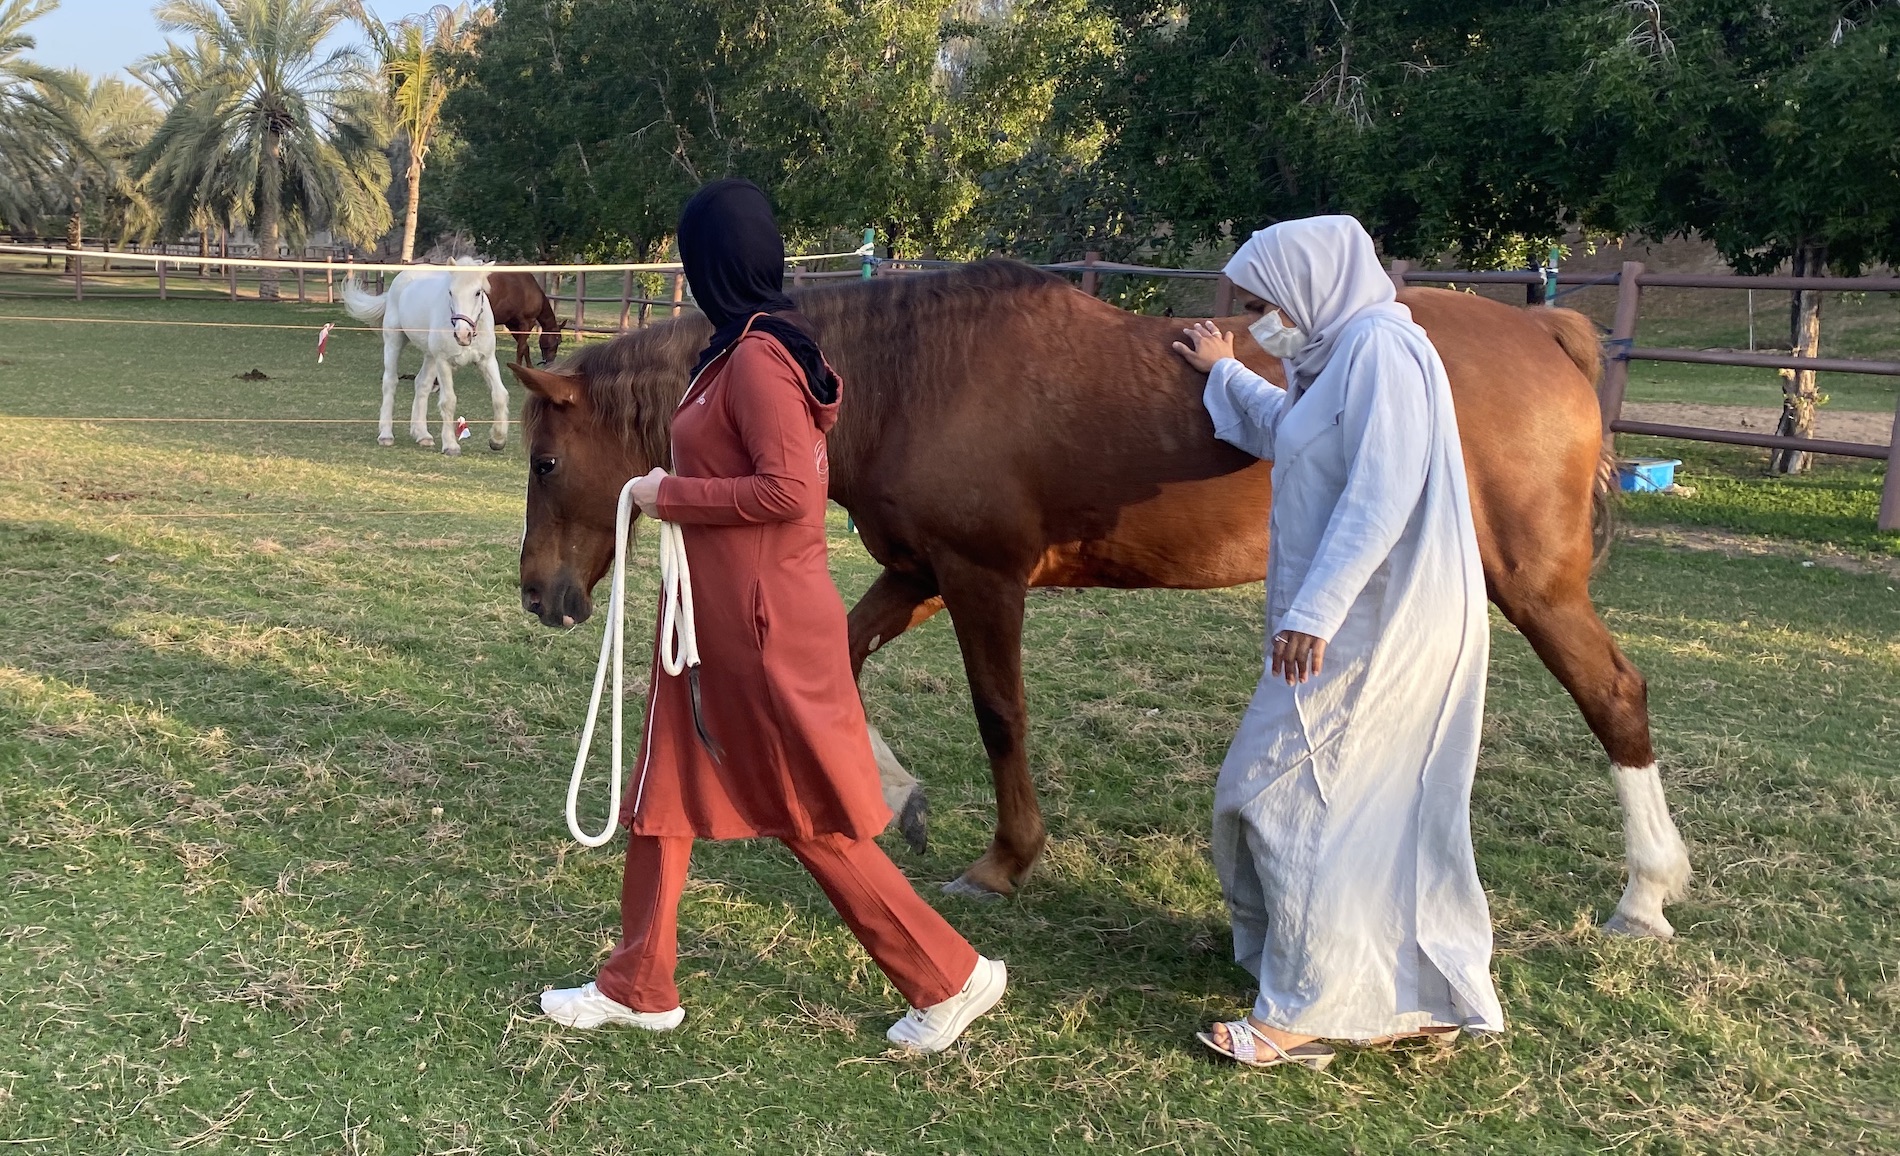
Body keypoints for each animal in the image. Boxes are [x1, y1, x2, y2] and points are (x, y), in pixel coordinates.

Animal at [340, 260, 505, 454]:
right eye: (450, 292)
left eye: (478, 292)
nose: (462, 335)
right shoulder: (443, 362)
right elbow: (448, 401)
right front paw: (450, 445)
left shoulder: (486, 360)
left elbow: (500, 395)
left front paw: (498, 439)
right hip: (395, 341)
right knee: (390, 381)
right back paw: (386, 435)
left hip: (430, 356)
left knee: (422, 384)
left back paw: (422, 435)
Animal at [509, 260, 1694, 939]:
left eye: (546, 462)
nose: (539, 595)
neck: (905, 375)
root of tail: (1543, 332)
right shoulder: (919, 572)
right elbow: (838, 659)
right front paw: (899, 796)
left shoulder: (982, 579)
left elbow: (1000, 716)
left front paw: (1004, 861)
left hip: (1531, 586)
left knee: (1615, 696)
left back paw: (1644, 891)